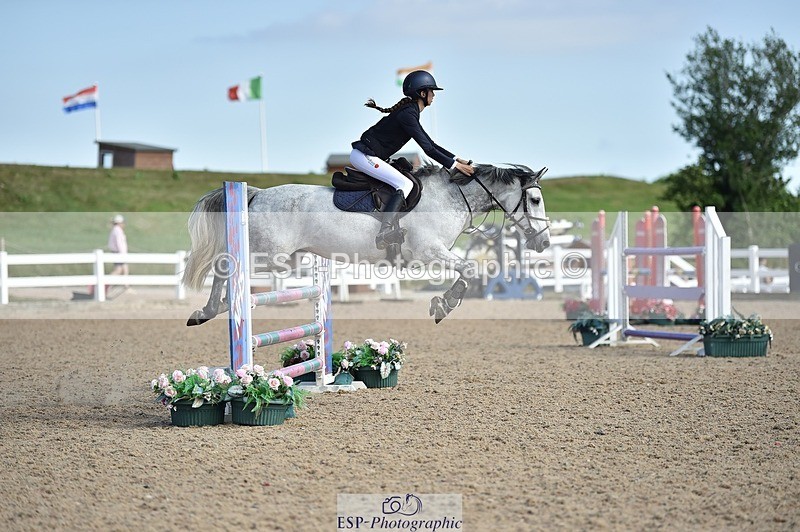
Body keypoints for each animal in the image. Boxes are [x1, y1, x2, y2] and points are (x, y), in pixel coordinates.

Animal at [182, 163, 551, 324]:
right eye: (533, 199)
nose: (544, 242)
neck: (451, 196)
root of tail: (256, 194)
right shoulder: (428, 252)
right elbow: (470, 270)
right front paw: (444, 305)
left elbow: (468, 271)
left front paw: (443, 303)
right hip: (267, 254)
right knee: (225, 266)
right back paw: (207, 311)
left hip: (284, 258)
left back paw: (215, 310)